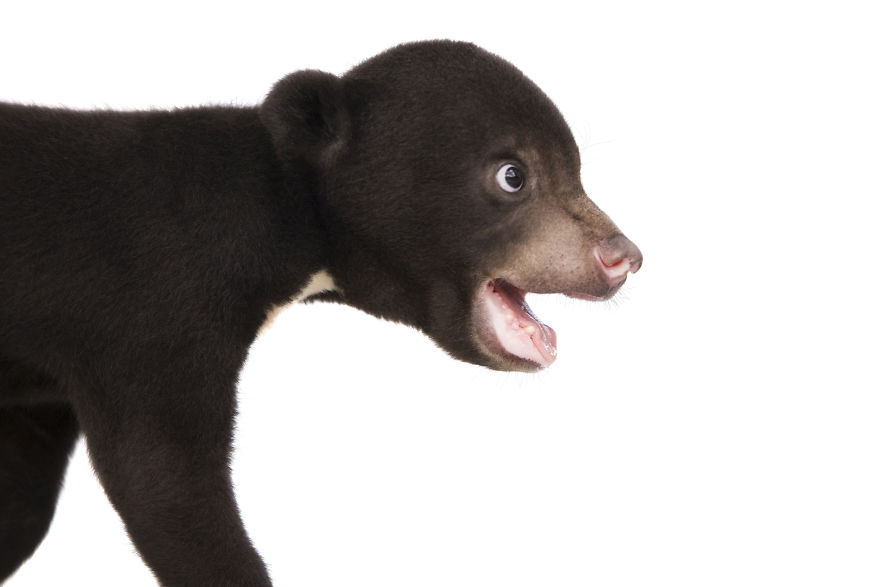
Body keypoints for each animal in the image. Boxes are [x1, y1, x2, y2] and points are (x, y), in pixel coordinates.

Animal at [0, 41, 642, 585]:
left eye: (577, 171)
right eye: (513, 175)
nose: (623, 257)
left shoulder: (40, 394)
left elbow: (23, 500)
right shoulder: (151, 317)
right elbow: (163, 477)